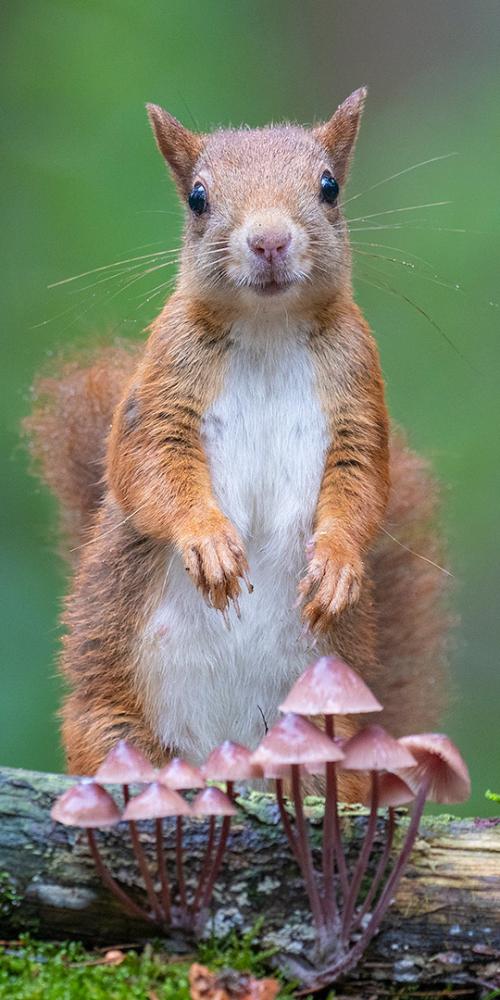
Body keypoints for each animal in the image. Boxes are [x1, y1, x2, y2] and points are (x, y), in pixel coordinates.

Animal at [26, 88, 450, 796]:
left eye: (330, 187)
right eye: (198, 197)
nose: (270, 239)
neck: (268, 326)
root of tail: (224, 758)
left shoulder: (359, 390)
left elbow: (364, 483)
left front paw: (337, 564)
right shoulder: (160, 386)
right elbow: (146, 467)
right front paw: (209, 543)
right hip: (111, 728)